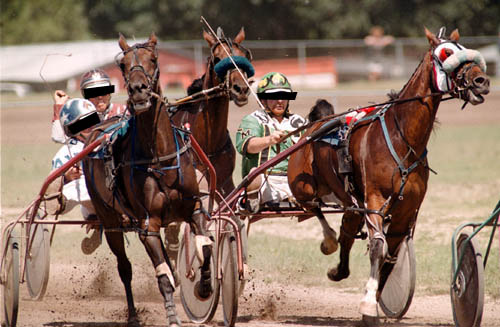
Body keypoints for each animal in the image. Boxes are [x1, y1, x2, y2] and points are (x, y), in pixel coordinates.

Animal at [84, 33, 213, 327]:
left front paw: (204, 288)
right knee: (124, 268)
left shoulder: (193, 208)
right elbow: (162, 275)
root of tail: (98, 129)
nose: (138, 89)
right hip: (110, 220)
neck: (159, 157)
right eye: (122, 65)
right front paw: (172, 317)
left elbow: (205, 248)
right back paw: (132, 315)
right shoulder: (148, 224)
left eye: (153, 59)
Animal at [288, 26, 490, 324]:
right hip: (303, 187)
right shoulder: (375, 200)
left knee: (346, 231)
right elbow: (377, 248)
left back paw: (338, 269)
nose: (481, 81)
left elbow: (391, 256)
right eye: (446, 53)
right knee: (315, 210)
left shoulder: (406, 210)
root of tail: (317, 124)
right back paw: (328, 241)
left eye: (466, 49)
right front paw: (368, 303)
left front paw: (375, 300)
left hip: (350, 200)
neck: (402, 139)